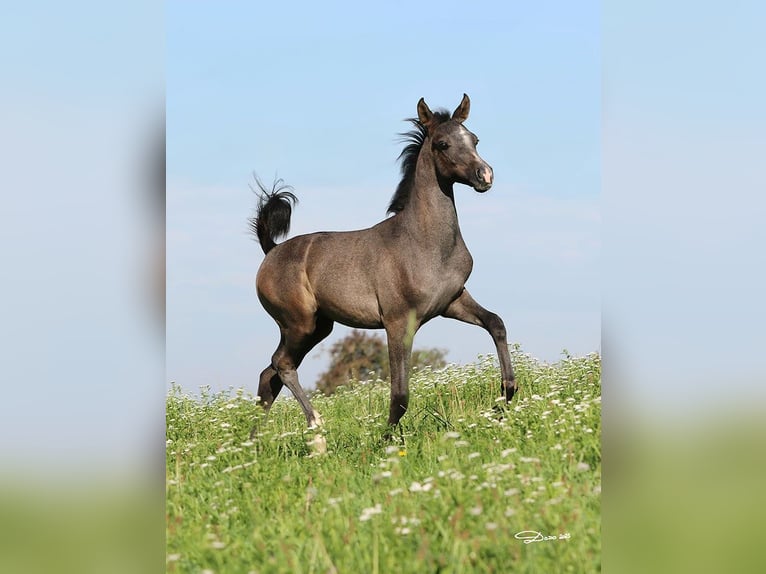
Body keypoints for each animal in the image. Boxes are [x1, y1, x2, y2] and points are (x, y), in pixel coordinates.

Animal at [249, 94, 517, 438]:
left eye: (474, 139)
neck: (424, 243)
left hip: (316, 327)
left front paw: (506, 395)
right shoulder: (398, 322)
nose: (485, 175)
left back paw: (253, 442)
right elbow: (400, 392)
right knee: (281, 365)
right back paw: (316, 424)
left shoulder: (453, 301)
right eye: (443, 144)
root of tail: (271, 250)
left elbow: (496, 323)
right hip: (299, 323)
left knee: (269, 375)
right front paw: (386, 438)